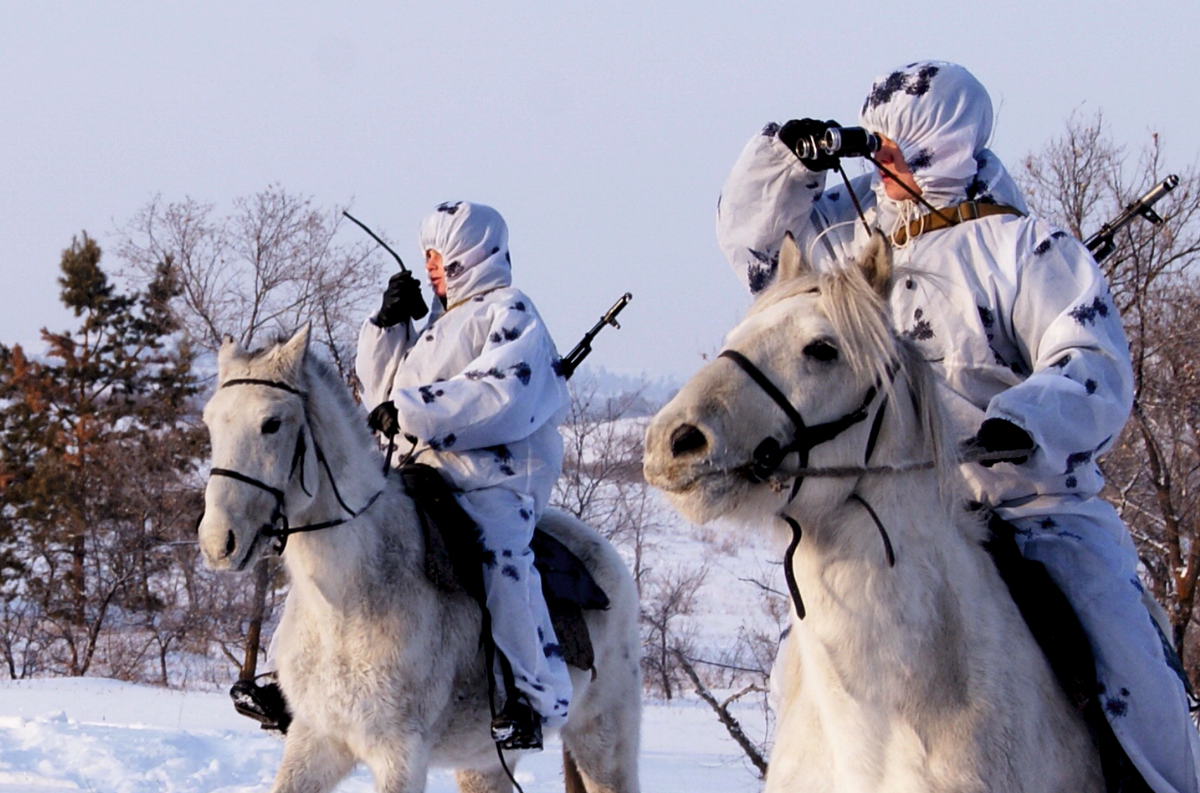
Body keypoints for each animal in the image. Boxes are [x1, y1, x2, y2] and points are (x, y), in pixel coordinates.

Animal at [200, 326, 643, 791]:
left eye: (272, 423)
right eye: (210, 422)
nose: (218, 542)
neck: (348, 601)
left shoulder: (400, 753)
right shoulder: (315, 740)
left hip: (602, 740)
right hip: (485, 764)